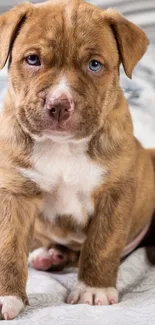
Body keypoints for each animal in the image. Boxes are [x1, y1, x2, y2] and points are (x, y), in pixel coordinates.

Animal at [0, 0, 155, 318]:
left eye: (94, 65)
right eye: (32, 59)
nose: (59, 105)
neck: (63, 147)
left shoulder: (115, 192)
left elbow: (102, 243)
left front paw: (94, 290)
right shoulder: (15, 193)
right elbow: (8, 245)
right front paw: (8, 296)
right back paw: (49, 255)